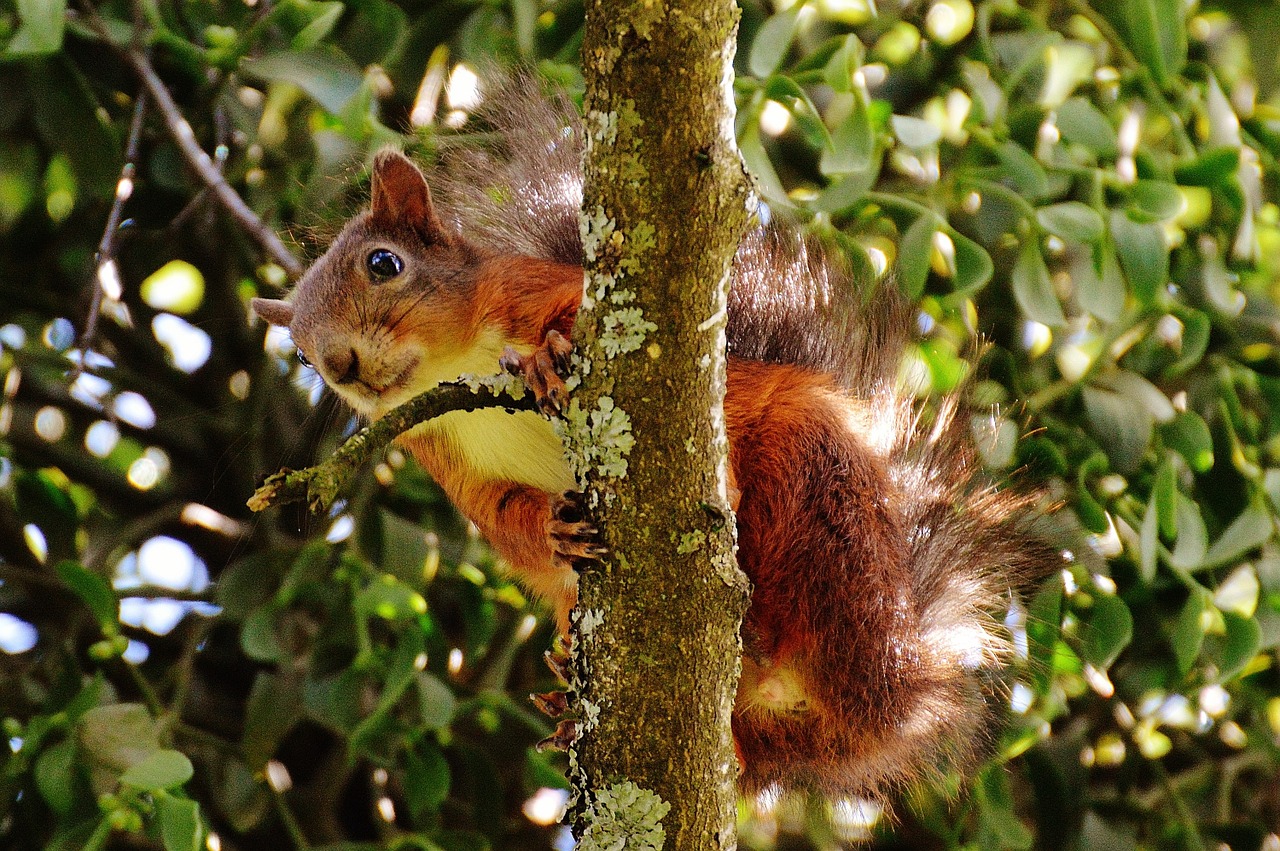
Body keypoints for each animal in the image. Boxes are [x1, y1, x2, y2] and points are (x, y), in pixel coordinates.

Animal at [252, 81, 1059, 803]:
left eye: (383, 263)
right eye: (300, 352)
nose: (339, 364)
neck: (457, 370)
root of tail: (899, 690)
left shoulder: (531, 291)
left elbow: (576, 320)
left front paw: (545, 359)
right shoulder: (448, 458)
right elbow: (507, 522)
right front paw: (553, 529)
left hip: (814, 486)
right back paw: (568, 703)